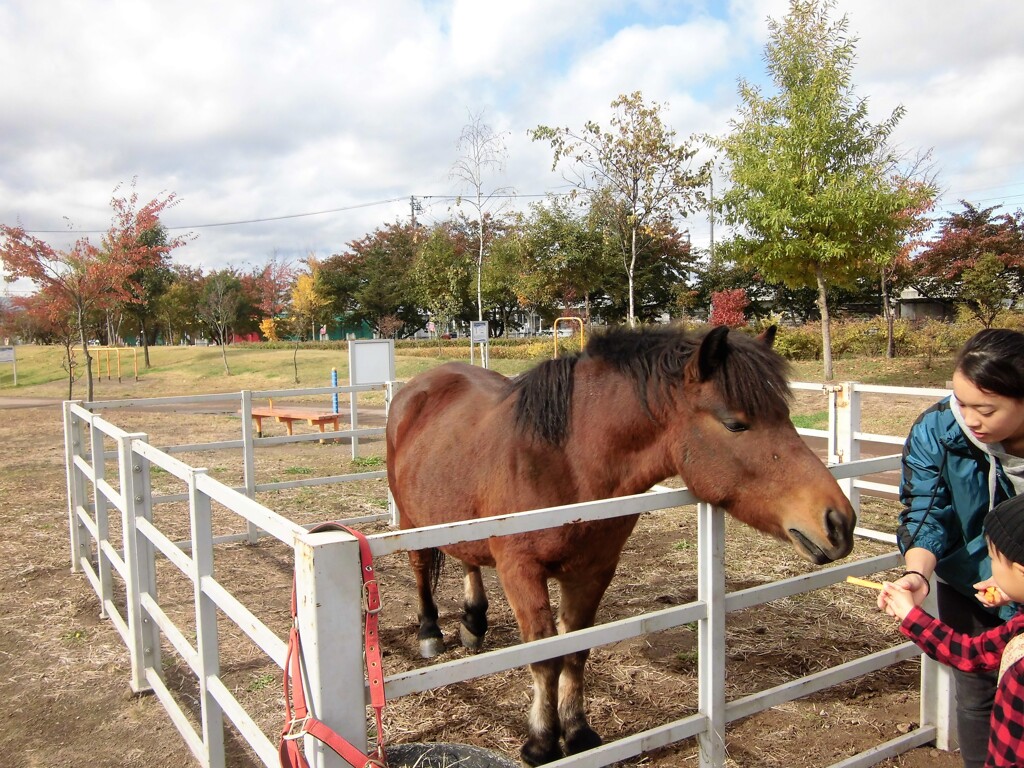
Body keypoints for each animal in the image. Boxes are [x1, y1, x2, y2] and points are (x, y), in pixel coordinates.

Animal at [385, 325, 856, 768]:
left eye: (785, 415)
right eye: (735, 423)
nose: (839, 522)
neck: (563, 461)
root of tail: (419, 386)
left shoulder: (593, 571)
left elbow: (575, 652)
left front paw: (577, 733)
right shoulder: (521, 572)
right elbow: (544, 657)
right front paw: (541, 742)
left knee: (468, 558)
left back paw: (473, 622)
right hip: (411, 522)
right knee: (421, 568)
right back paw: (430, 632)